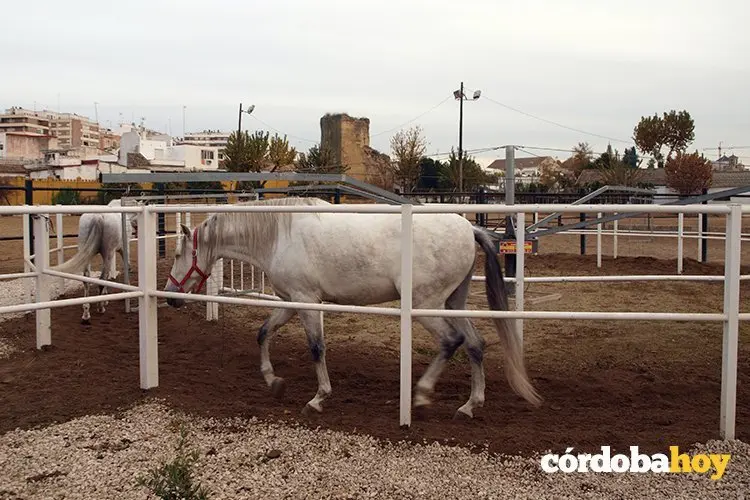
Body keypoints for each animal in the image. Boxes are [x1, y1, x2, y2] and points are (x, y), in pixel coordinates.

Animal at [163, 197, 542, 419]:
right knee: (476, 344)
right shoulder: (290, 302)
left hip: (426, 305)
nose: (169, 296)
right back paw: (469, 405)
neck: (279, 234)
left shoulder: (306, 301)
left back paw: (421, 395)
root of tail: (468, 227)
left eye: (180, 253)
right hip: (451, 303)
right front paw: (274, 381)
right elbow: (263, 333)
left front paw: (318, 398)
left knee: (452, 342)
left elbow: (316, 348)